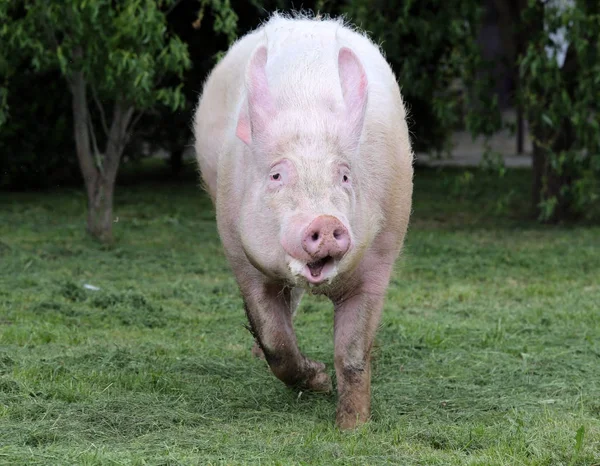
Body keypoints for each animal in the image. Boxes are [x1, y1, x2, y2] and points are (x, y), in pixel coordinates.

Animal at [192, 11, 412, 430]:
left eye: (344, 175)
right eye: (277, 175)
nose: (324, 221)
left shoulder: (381, 255)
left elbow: (353, 354)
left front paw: (352, 427)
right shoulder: (240, 254)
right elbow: (275, 342)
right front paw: (321, 381)